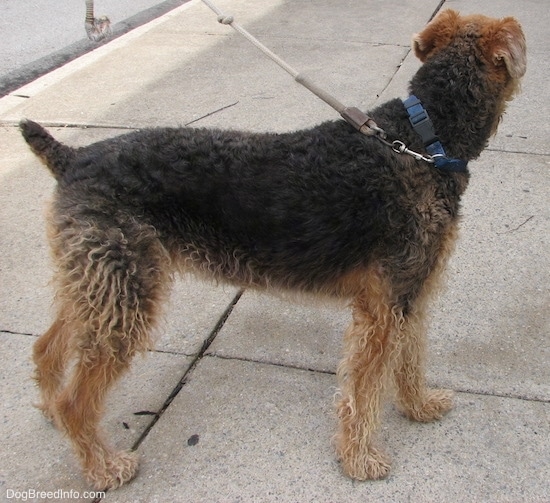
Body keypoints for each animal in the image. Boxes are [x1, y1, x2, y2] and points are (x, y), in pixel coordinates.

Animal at [19, 8, 528, 492]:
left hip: (100, 283)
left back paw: (50, 412)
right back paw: (103, 467)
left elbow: (410, 358)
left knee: (47, 347)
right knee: (76, 399)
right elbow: (363, 388)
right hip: (124, 290)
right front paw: (361, 459)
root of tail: (72, 158)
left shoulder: (411, 291)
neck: (423, 138)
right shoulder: (385, 305)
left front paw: (420, 406)